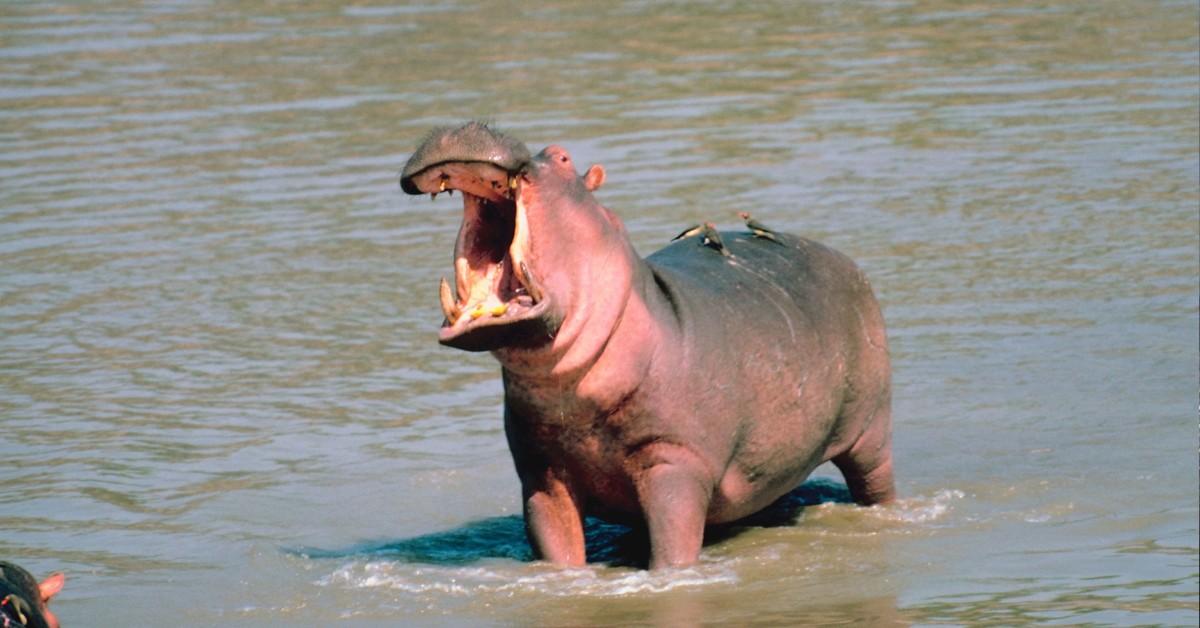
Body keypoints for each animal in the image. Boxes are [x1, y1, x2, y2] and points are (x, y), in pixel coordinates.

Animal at [400, 123, 892, 569]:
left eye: (561, 157)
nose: (463, 125)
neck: (565, 386)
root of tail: (841, 257)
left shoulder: (672, 461)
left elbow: (672, 548)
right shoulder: (542, 473)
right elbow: (558, 547)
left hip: (872, 428)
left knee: (875, 478)